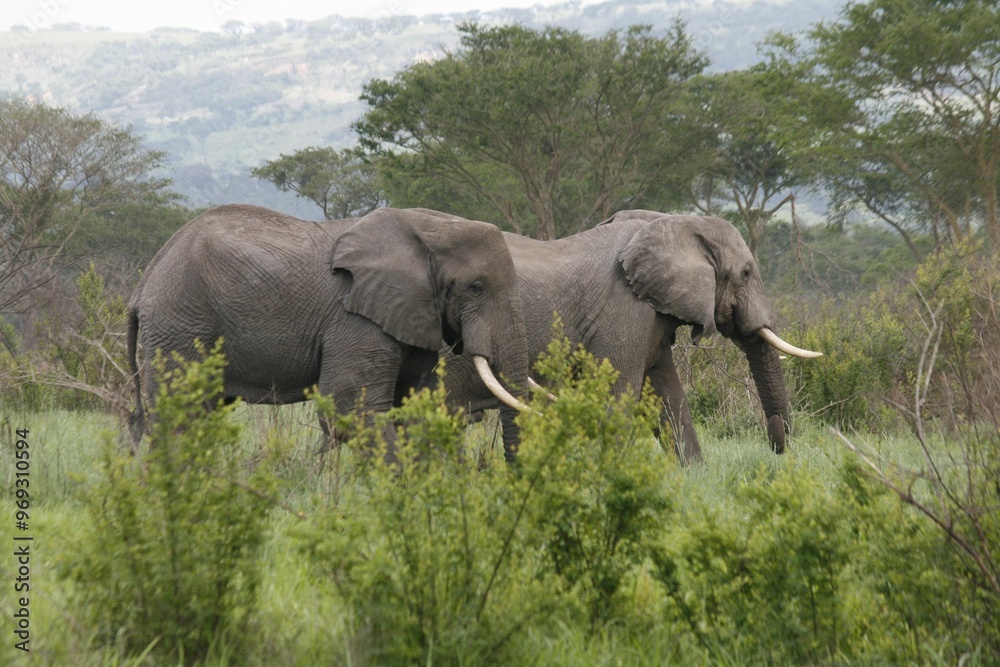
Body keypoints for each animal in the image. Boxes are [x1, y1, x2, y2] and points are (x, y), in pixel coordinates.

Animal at [126, 204, 532, 459]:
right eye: (476, 288)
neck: (427, 227)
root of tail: (144, 281)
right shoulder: (356, 320)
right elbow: (349, 406)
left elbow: (417, 405)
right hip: (180, 324)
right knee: (181, 416)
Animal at [429, 210, 821, 463]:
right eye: (746, 273)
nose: (777, 445)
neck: (670, 222)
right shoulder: (625, 313)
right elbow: (622, 396)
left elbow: (666, 395)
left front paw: (693, 474)